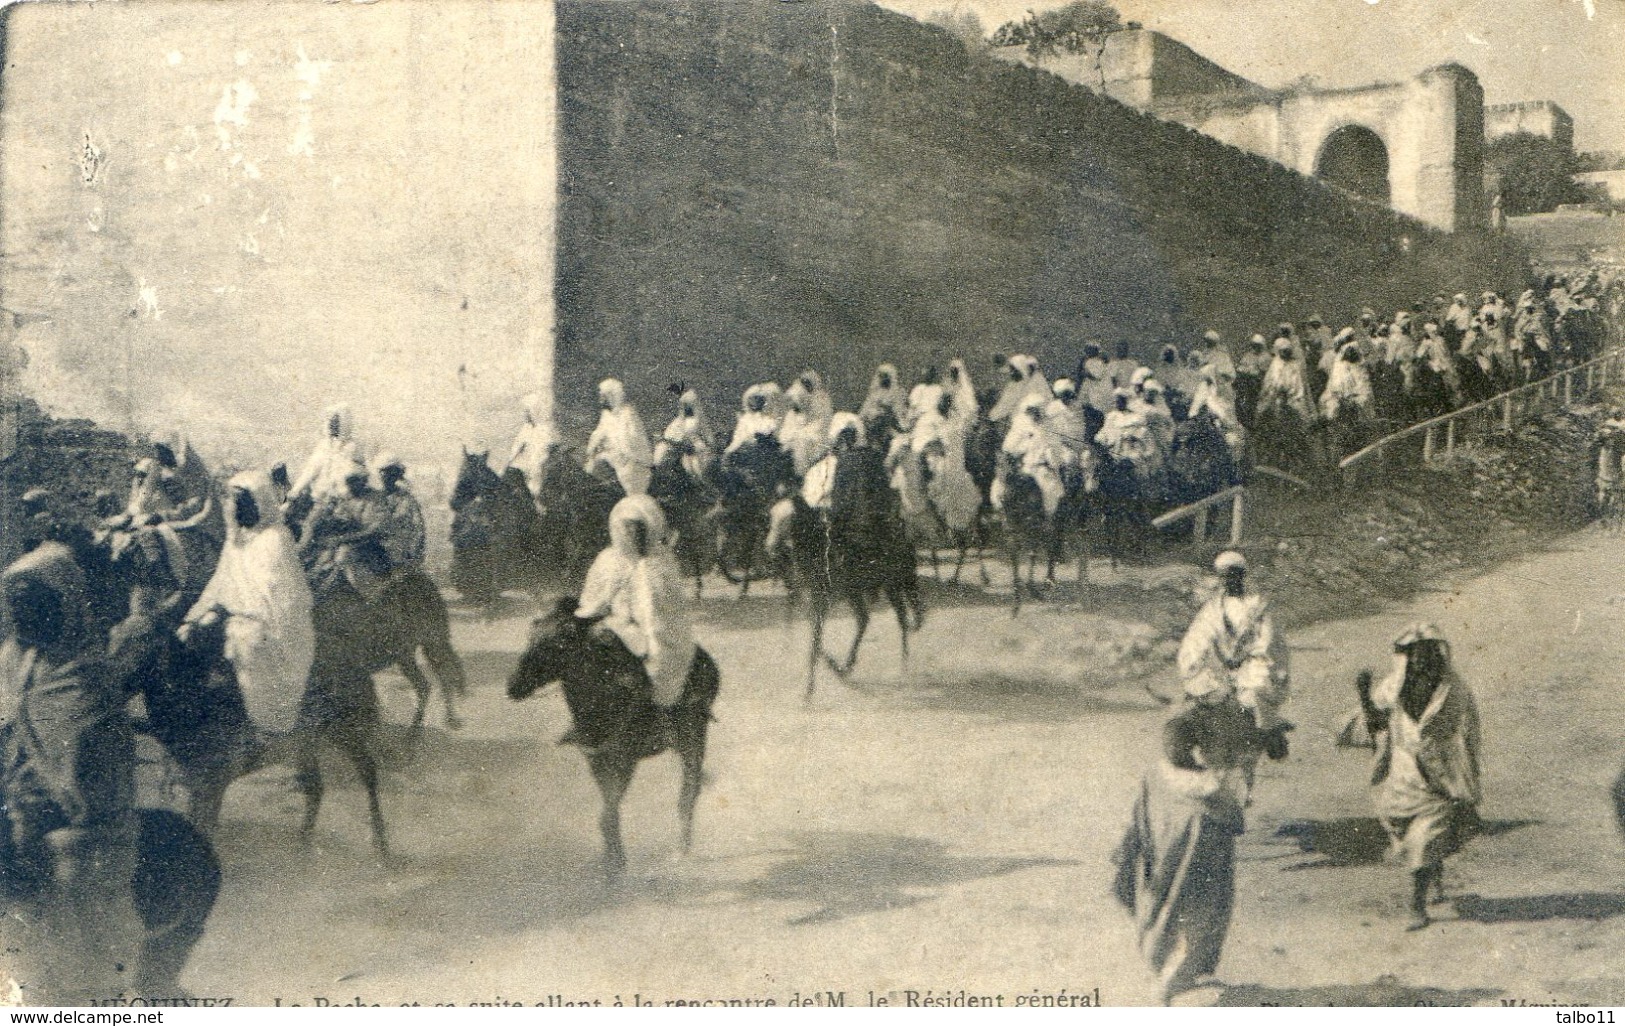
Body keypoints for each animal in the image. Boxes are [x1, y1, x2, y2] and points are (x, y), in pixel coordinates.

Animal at [503, 601, 715, 884]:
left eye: (556, 644)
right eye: (531, 637)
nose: (513, 685)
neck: (605, 697)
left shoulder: (624, 761)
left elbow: (608, 814)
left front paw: (616, 866)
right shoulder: (596, 760)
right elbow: (607, 813)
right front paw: (610, 860)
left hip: (693, 738)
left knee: (688, 793)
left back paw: (681, 851)